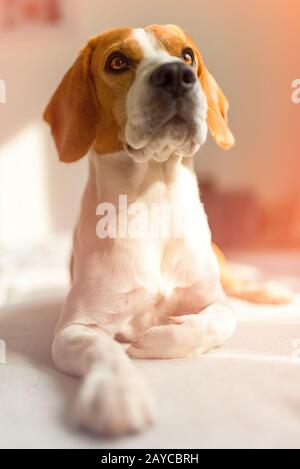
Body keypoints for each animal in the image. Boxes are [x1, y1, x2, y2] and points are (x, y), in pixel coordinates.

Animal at [43, 24, 292, 436]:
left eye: (186, 54)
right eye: (117, 62)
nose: (176, 74)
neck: (153, 202)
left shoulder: (213, 301)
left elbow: (217, 321)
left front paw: (158, 338)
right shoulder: (74, 329)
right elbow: (105, 350)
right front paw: (117, 394)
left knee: (240, 284)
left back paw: (273, 290)